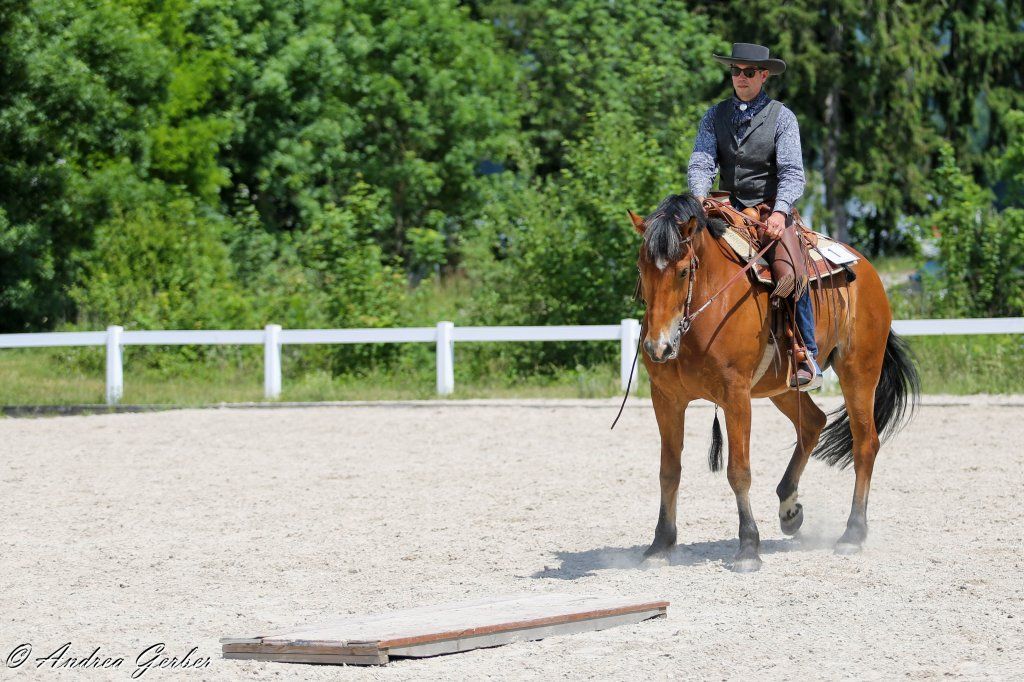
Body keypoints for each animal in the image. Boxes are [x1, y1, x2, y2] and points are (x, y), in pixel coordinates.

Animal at [628, 193, 918, 572]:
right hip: (783, 387)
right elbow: (669, 471)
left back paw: (852, 534)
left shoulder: (736, 394)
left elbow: (739, 471)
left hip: (859, 371)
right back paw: (789, 509)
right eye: (641, 268)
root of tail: (868, 273)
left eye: (682, 270)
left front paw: (749, 547)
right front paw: (661, 544)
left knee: (865, 444)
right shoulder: (666, 398)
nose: (657, 347)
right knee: (813, 423)